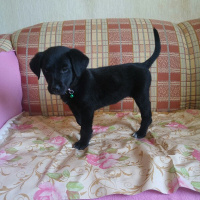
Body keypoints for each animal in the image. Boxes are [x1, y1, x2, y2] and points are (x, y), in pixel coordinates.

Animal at [30, 28, 161, 150]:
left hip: (141, 95)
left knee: (147, 114)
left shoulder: (87, 108)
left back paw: (141, 133)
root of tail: (143, 64)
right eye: (46, 70)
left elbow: (86, 127)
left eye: (65, 69)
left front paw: (83, 143)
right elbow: (80, 121)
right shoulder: (74, 107)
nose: (55, 88)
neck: (74, 86)